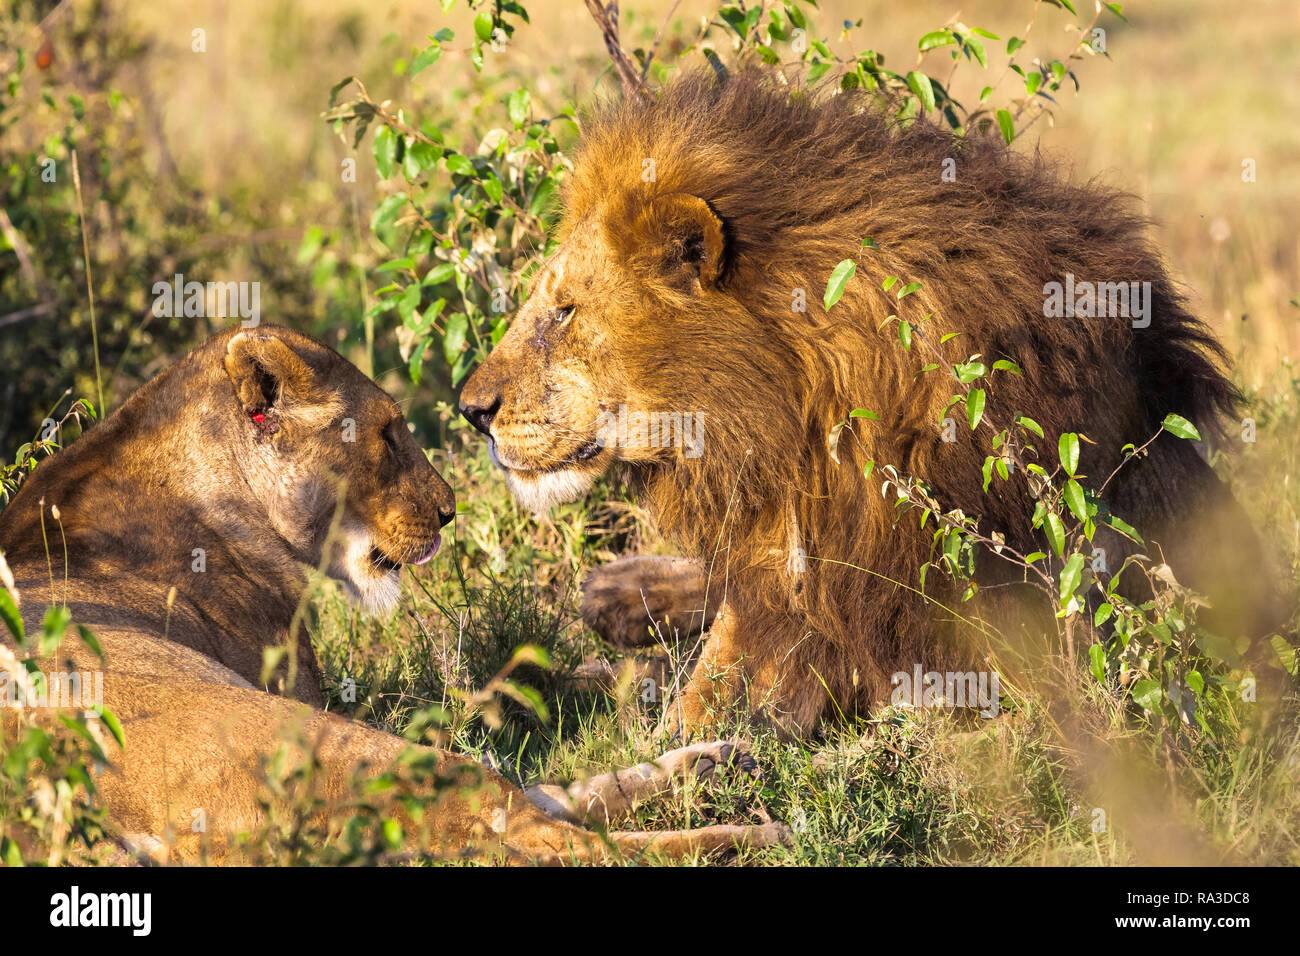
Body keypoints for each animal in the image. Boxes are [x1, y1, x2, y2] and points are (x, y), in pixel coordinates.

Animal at [0, 325, 784, 862]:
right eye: (384, 433)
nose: (448, 511)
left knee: (534, 803)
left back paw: (713, 762)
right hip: (315, 741)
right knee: (559, 840)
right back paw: (750, 832)